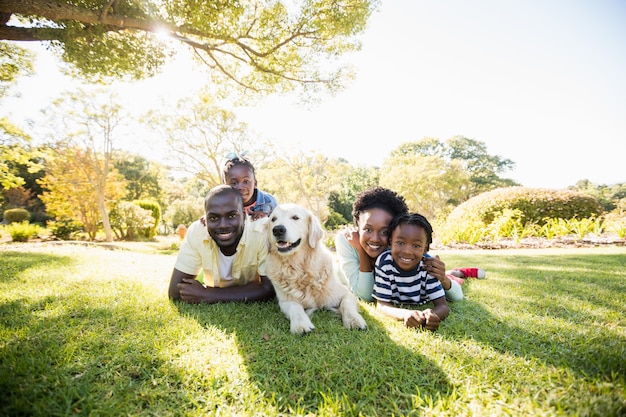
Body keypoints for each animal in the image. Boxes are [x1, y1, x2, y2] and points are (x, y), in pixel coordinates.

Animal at [264, 203, 366, 334]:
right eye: (273, 219)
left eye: (295, 217)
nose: (277, 230)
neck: (299, 269)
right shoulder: (285, 301)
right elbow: (295, 307)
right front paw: (301, 324)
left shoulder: (346, 293)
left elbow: (347, 304)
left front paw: (354, 320)